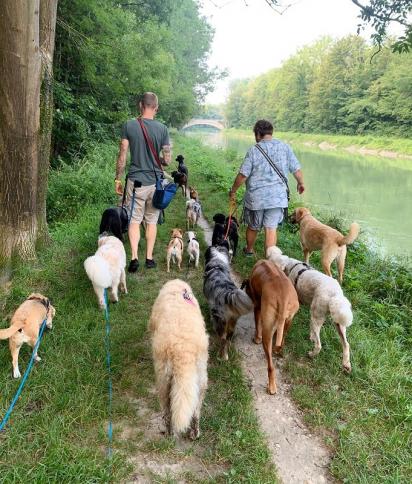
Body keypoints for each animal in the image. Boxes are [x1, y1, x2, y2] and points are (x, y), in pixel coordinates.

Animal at [148, 278, 209, 440]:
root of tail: (183, 351)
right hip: (200, 381)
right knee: (195, 412)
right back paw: (195, 433)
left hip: (163, 382)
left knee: (167, 412)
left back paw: (169, 433)